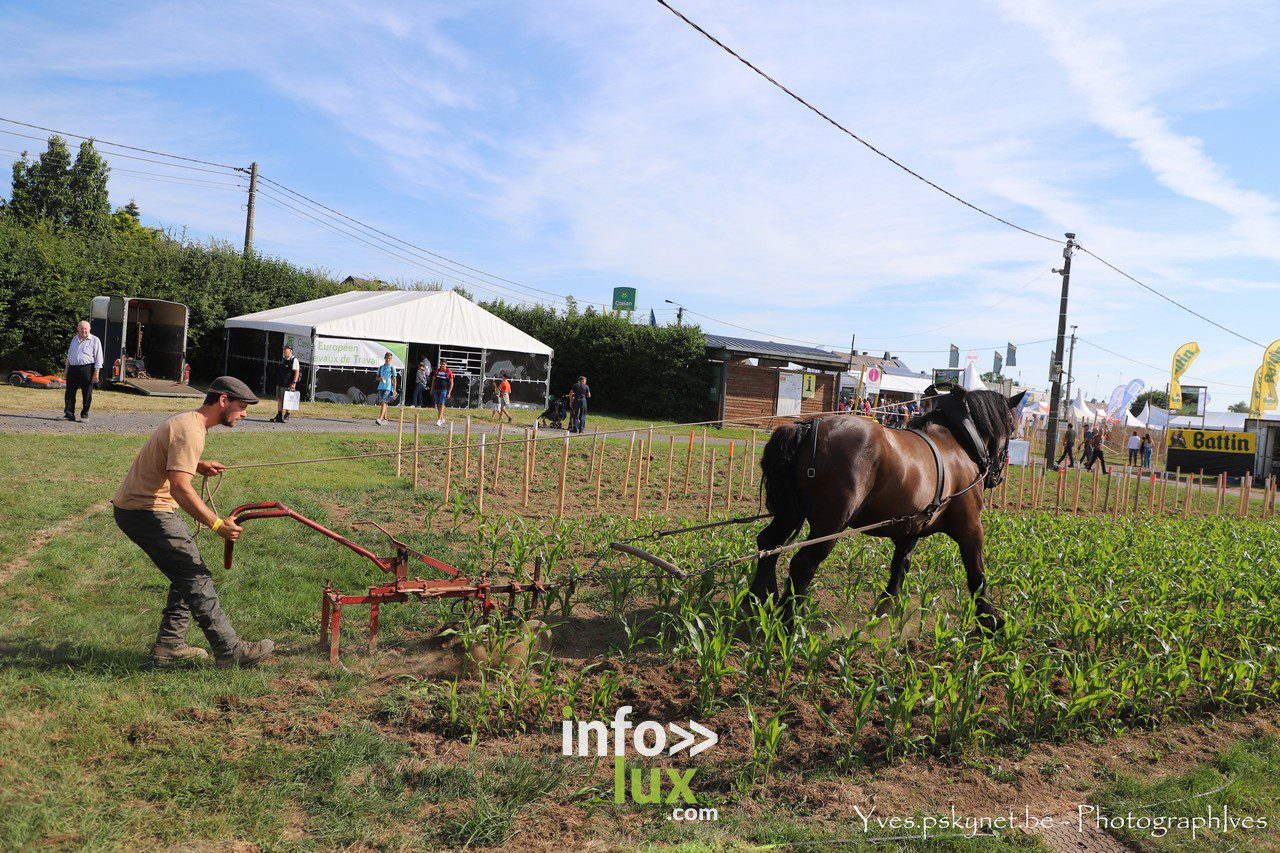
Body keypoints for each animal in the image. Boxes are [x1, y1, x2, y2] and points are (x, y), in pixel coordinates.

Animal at [752, 384, 1024, 630]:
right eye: (1011, 426)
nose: (998, 476)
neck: (959, 442)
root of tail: (808, 427)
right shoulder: (970, 525)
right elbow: (976, 571)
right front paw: (991, 620)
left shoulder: (911, 526)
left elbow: (899, 567)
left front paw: (884, 612)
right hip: (830, 525)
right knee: (803, 564)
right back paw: (789, 622)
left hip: (789, 514)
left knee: (768, 544)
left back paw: (758, 602)